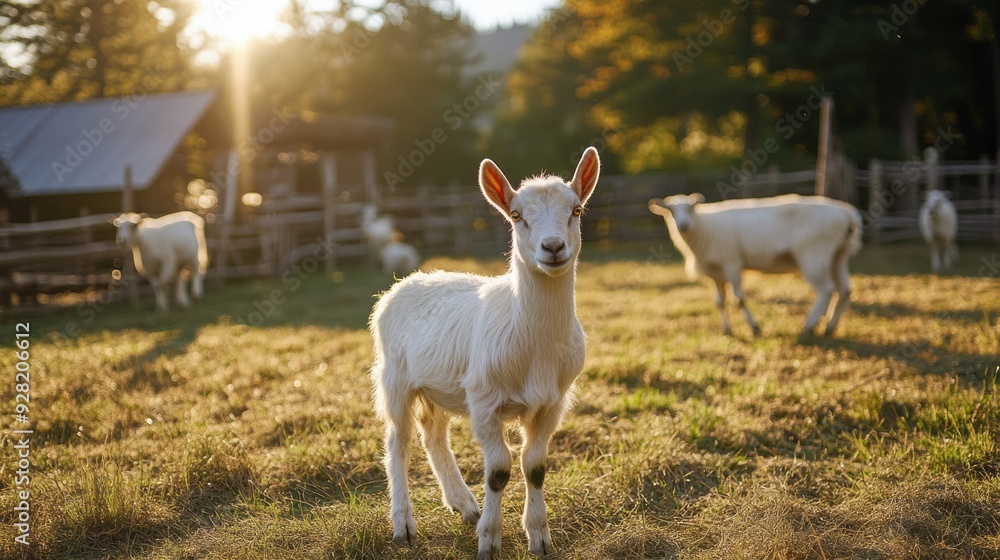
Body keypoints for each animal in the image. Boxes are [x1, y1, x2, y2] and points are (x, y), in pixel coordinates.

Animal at [369, 147, 600, 559]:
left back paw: (463, 504)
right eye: (516, 216)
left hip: (439, 386)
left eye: (577, 210)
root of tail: (404, 281)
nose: (553, 247)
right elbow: (499, 471)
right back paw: (404, 525)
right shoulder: (484, 401)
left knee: (433, 435)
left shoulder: (553, 402)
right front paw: (490, 540)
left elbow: (534, 466)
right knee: (399, 443)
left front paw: (539, 537)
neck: (535, 343)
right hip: (394, 378)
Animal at [648, 193, 862, 337]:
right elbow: (720, 302)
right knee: (845, 290)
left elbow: (739, 299)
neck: (704, 228)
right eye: (671, 211)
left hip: (814, 254)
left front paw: (754, 328)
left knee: (827, 289)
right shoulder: (716, 273)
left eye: (691, 208)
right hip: (838, 255)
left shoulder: (732, 263)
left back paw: (809, 325)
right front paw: (727, 330)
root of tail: (848, 214)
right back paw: (830, 327)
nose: (683, 224)